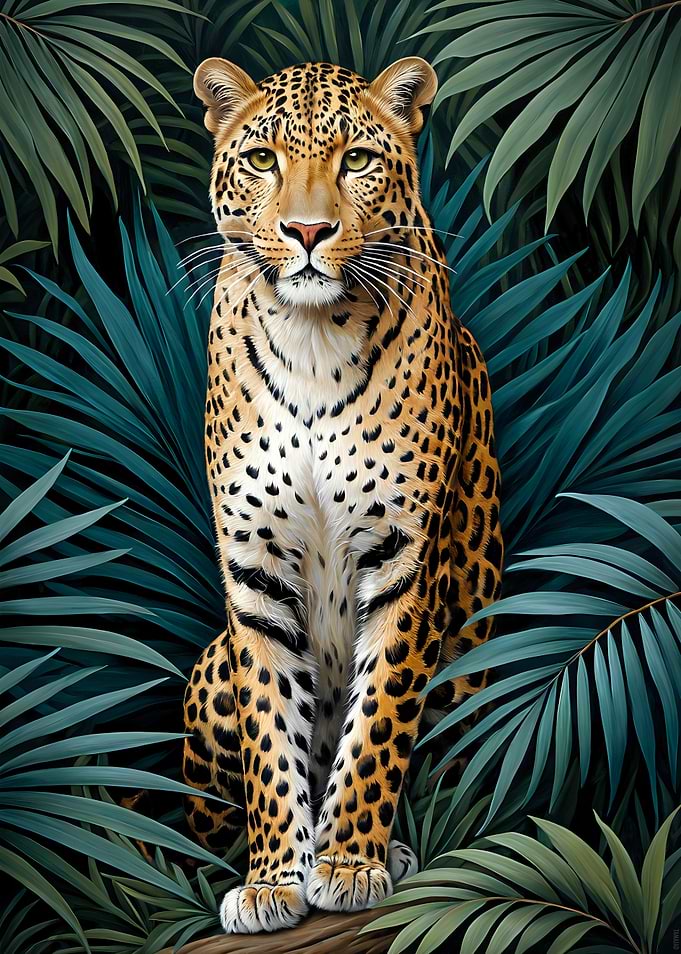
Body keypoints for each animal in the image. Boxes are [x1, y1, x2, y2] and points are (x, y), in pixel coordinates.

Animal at [182, 55, 504, 934]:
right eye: (262, 160)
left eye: (356, 159)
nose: (306, 233)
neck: (312, 337)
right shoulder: (253, 570)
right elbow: (269, 732)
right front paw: (270, 880)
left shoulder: (404, 561)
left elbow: (380, 721)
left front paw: (350, 862)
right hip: (208, 668)